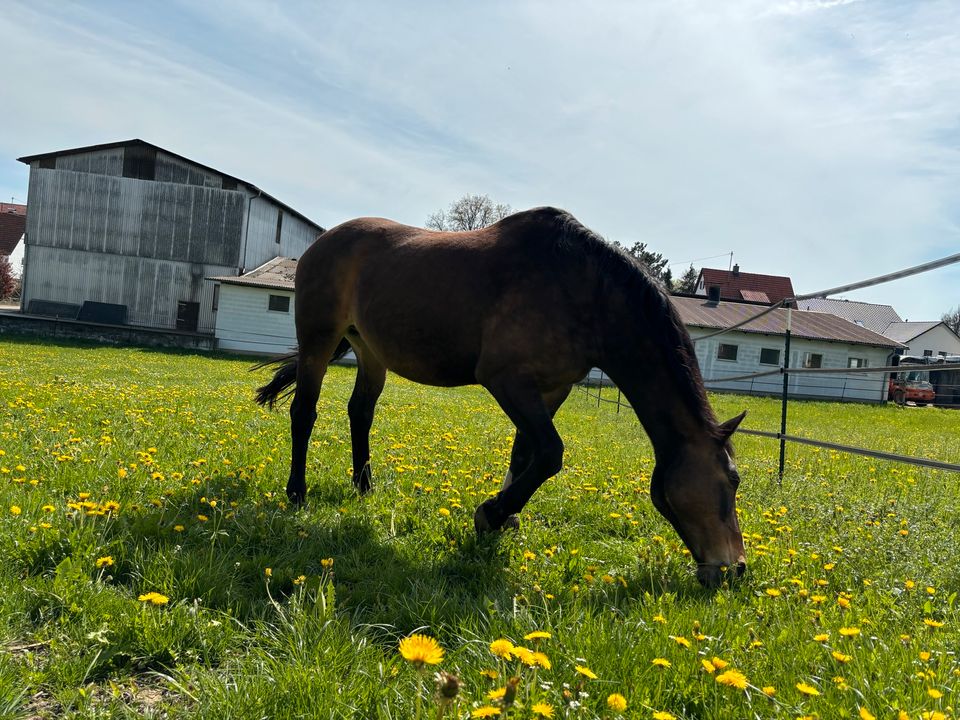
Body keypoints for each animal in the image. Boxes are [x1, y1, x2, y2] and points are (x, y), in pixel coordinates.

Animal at [255, 205, 752, 588]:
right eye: (732, 481)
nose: (736, 569)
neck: (583, 290)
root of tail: (322, 242)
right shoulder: (507, 381)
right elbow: (550, 452)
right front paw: (492, 513)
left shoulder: (551, 389)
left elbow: (526, 453)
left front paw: (504, 518)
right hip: (319, 339)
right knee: (304, 412)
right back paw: (297, 493)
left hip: (370, 350)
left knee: (360, 412)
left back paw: (364, 487)